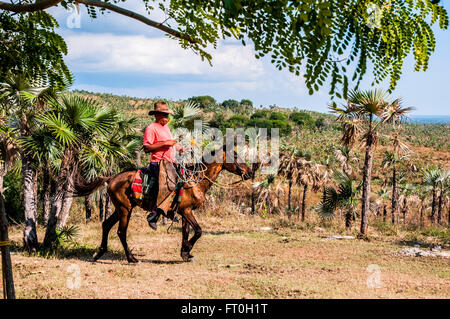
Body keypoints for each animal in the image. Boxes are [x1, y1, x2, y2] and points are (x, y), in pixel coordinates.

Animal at [72, 146, 251, 264]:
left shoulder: (185, 212)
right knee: (121, 231)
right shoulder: (187, 211)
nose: (250, 172)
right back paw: (131, 258)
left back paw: (98, 254)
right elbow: (199, 231)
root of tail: (111, 178)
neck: (194, 180)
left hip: (120, 208)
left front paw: (185, 252)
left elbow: (186, 232)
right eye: (235, 156)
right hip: (125, 209)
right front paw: (187, 250)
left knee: (106, 225)